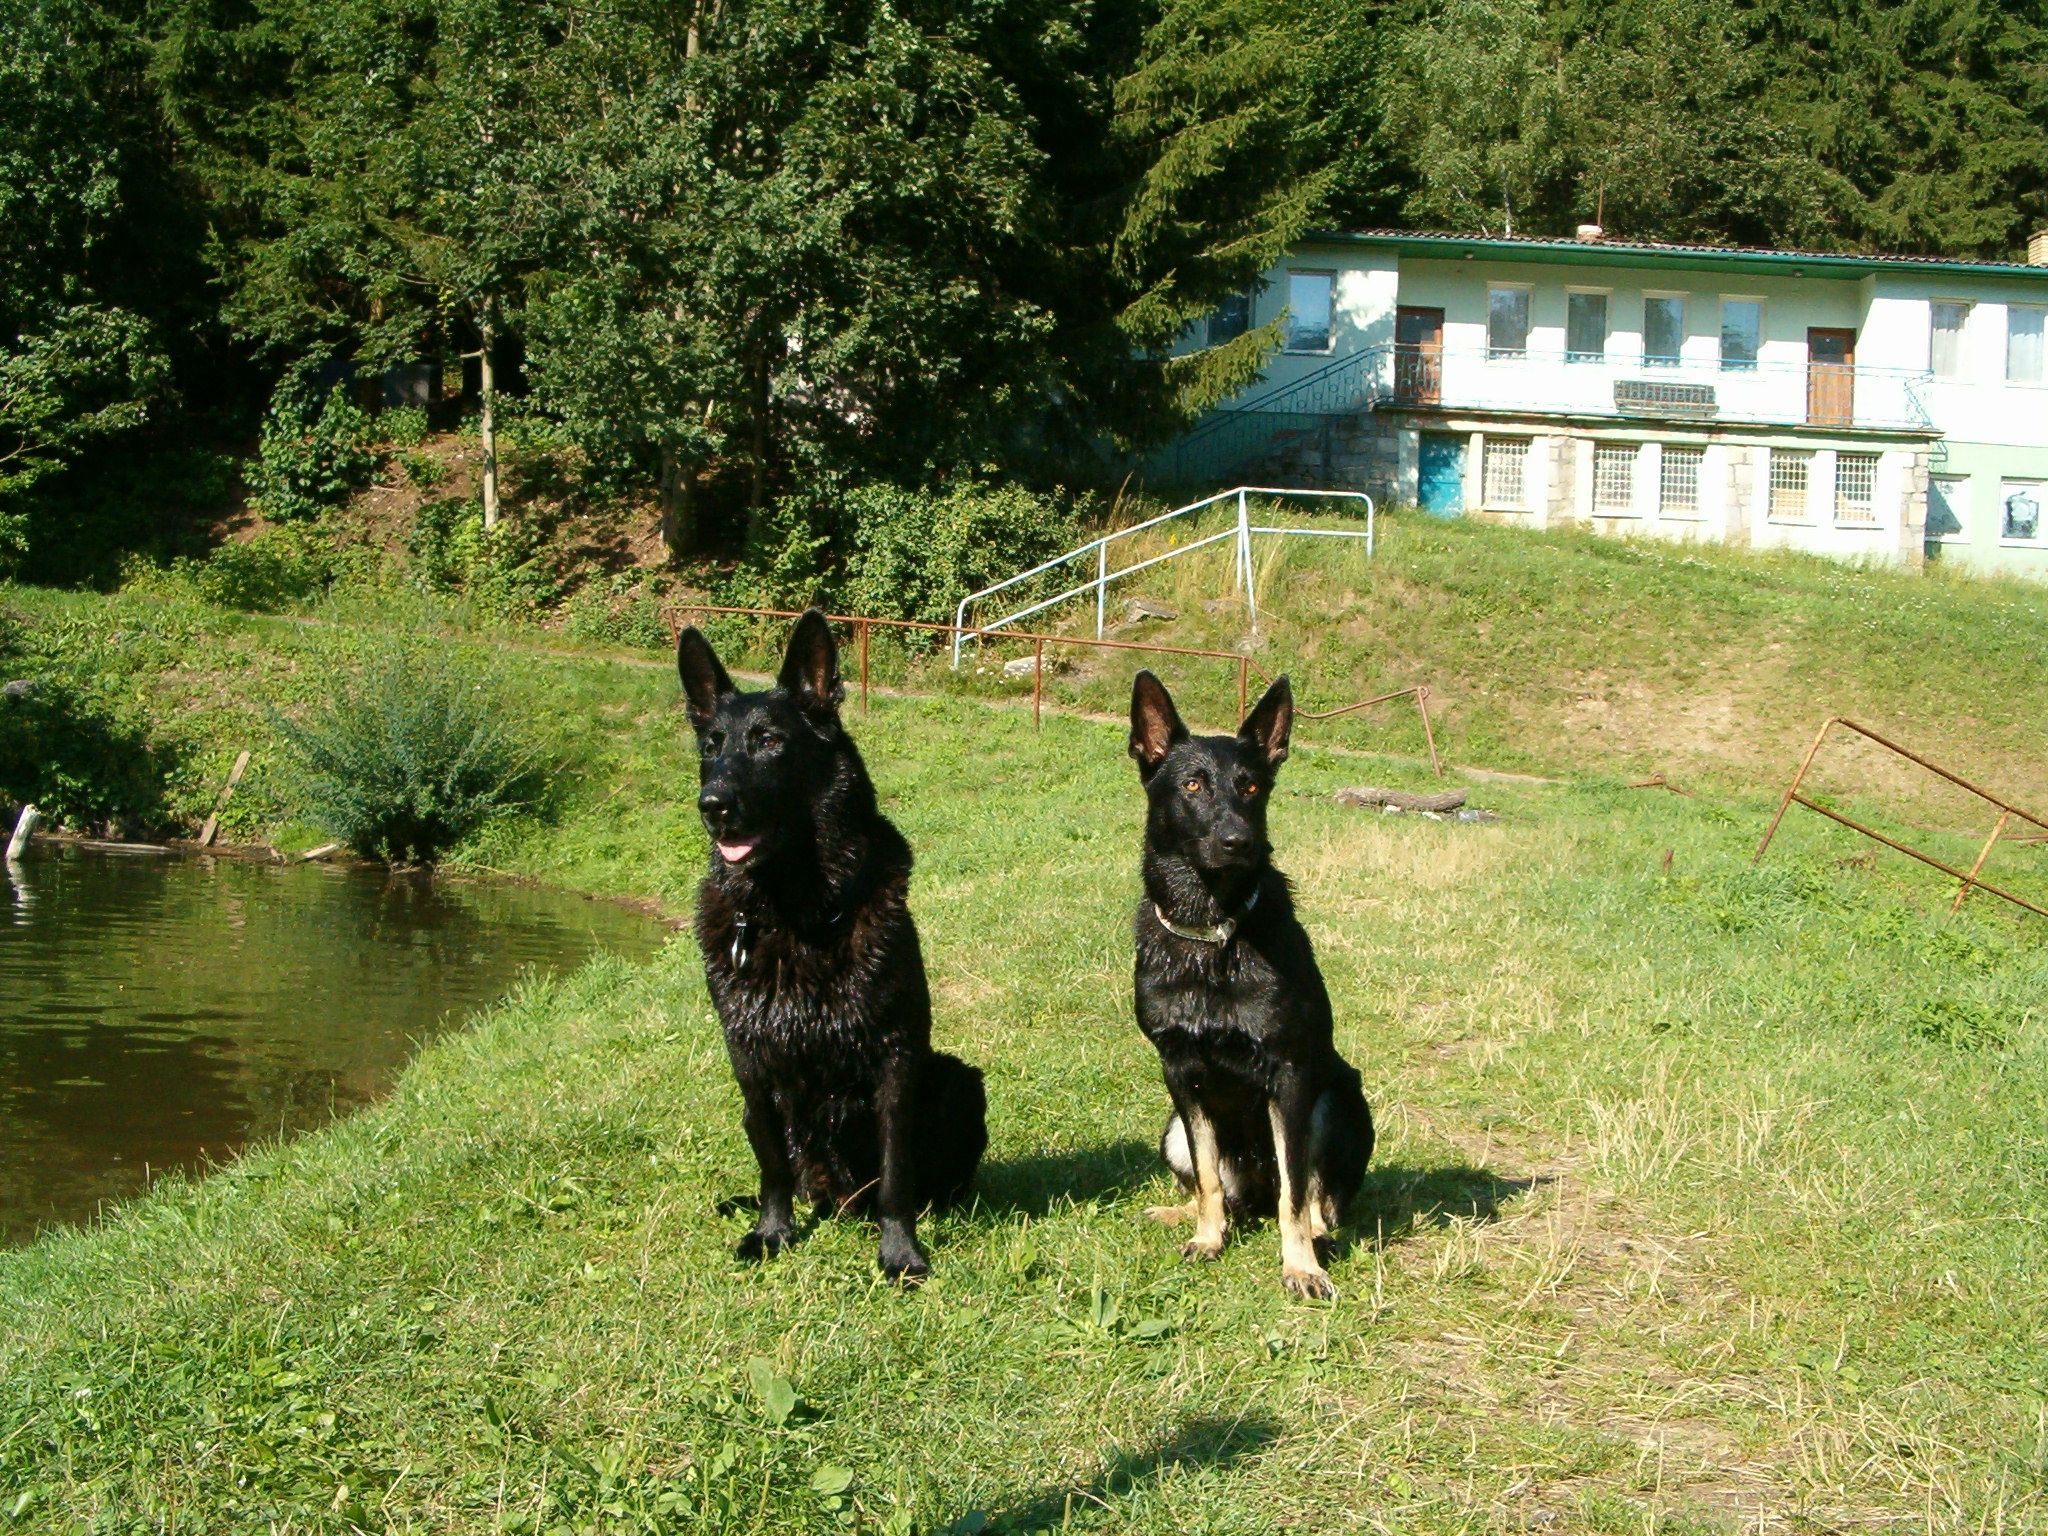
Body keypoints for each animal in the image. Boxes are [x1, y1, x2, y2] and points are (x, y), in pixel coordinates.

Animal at [675, 614, 987, 1286]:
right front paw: (772, 1232)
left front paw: (900, 1251)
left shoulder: (895, 1056)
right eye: (712, 746)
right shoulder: (750, 1065)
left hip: (956, 1079)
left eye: (769, 741)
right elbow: (771, 1165)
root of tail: (835, 1197)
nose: (713, 805)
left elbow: (896, 1173)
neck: (795, 913)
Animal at [1130, 671, 1368, 1302]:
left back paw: (1317, 1238)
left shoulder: (1289, 1074)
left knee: (1312, 1198)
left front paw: (1301, 1266)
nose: (1239, 841)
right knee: (1218, 1186)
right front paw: (1208, 1238)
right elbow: (1208, 1176)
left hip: (1337, 1100)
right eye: (1192, 784)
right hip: (1172, 1130)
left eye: (1253, 787)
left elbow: (1296, 1191)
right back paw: (1185, 1215)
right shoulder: (1179, 1069)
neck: (1214, 937)